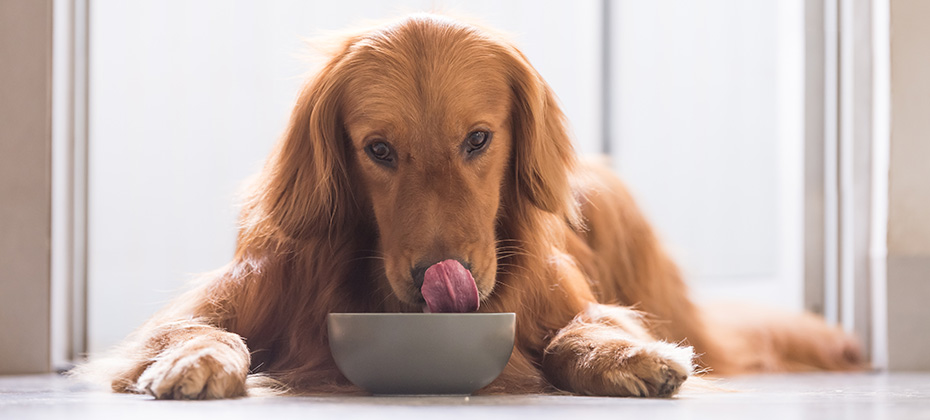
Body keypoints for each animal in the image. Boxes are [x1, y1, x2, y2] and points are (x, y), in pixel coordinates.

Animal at [89, 14, 864, 398]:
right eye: (378, 149)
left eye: (479, 139)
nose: (444, 278)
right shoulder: (234, 293)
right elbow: (195, 328)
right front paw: (195, 359)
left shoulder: (562, 299)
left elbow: (579, 328)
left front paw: (622, 354)